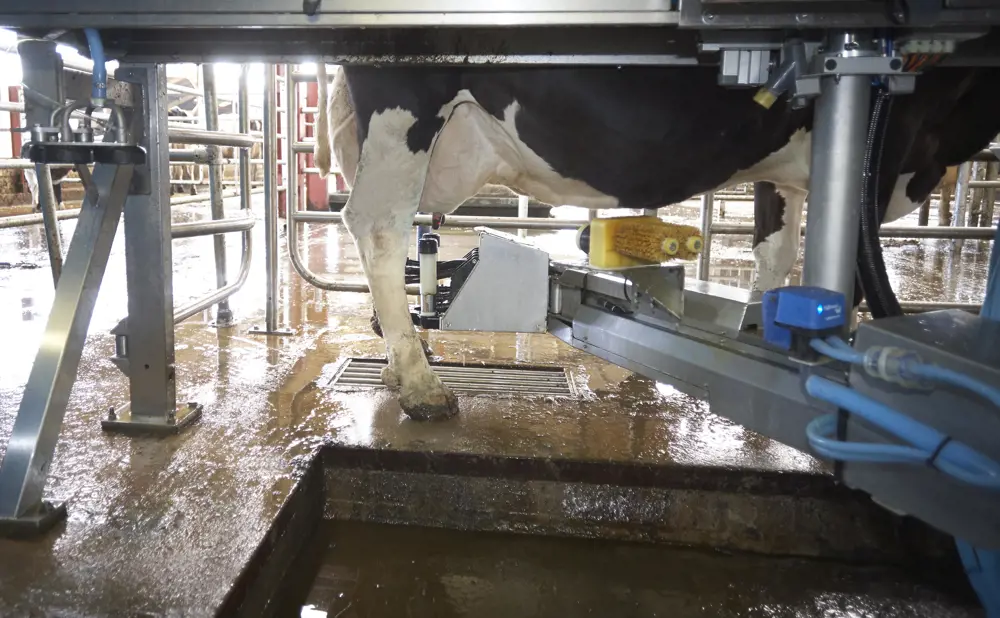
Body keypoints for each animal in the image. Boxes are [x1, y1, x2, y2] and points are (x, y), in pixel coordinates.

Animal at [312, 62, 1000, 418]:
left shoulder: (785, 170)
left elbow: (775, 255)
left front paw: (768, 336)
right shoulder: (890, 138)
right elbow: (852, 272)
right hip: (406, 100)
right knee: (377, 224)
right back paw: (422, 386)